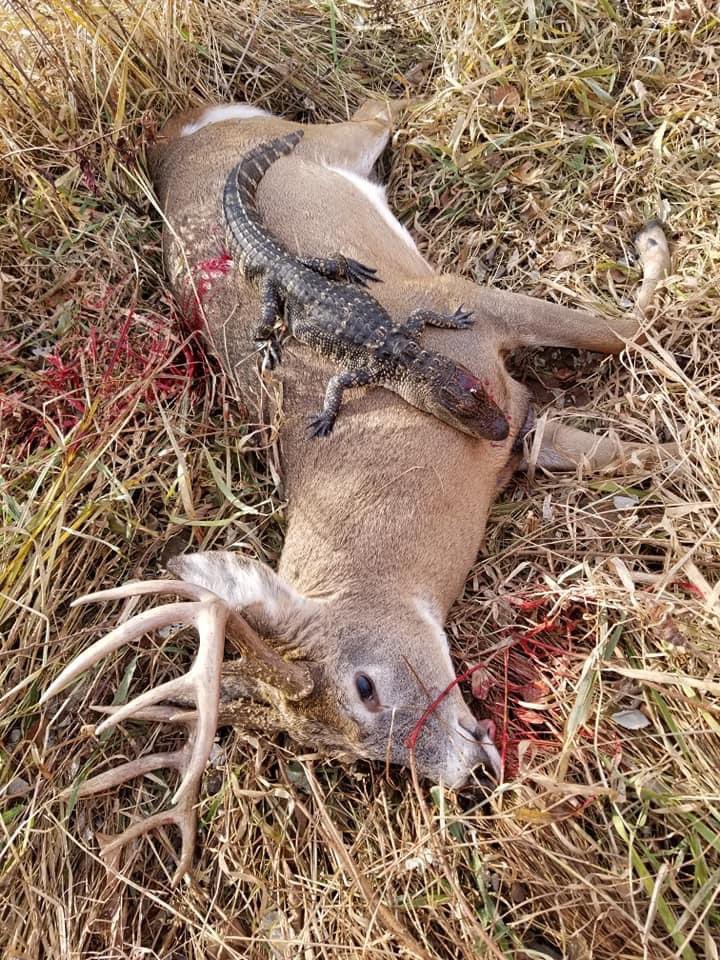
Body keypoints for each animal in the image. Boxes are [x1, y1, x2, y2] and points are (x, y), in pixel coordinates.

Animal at [41, 98, 672, 883]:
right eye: (348, 754)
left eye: (364, 687)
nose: (469, 775)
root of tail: (177, 131)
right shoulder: (522, 432)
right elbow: (628, 451)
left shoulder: (460, 299)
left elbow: (624, 330)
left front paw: (654, 246)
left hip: (334, 145)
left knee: (377, 113)